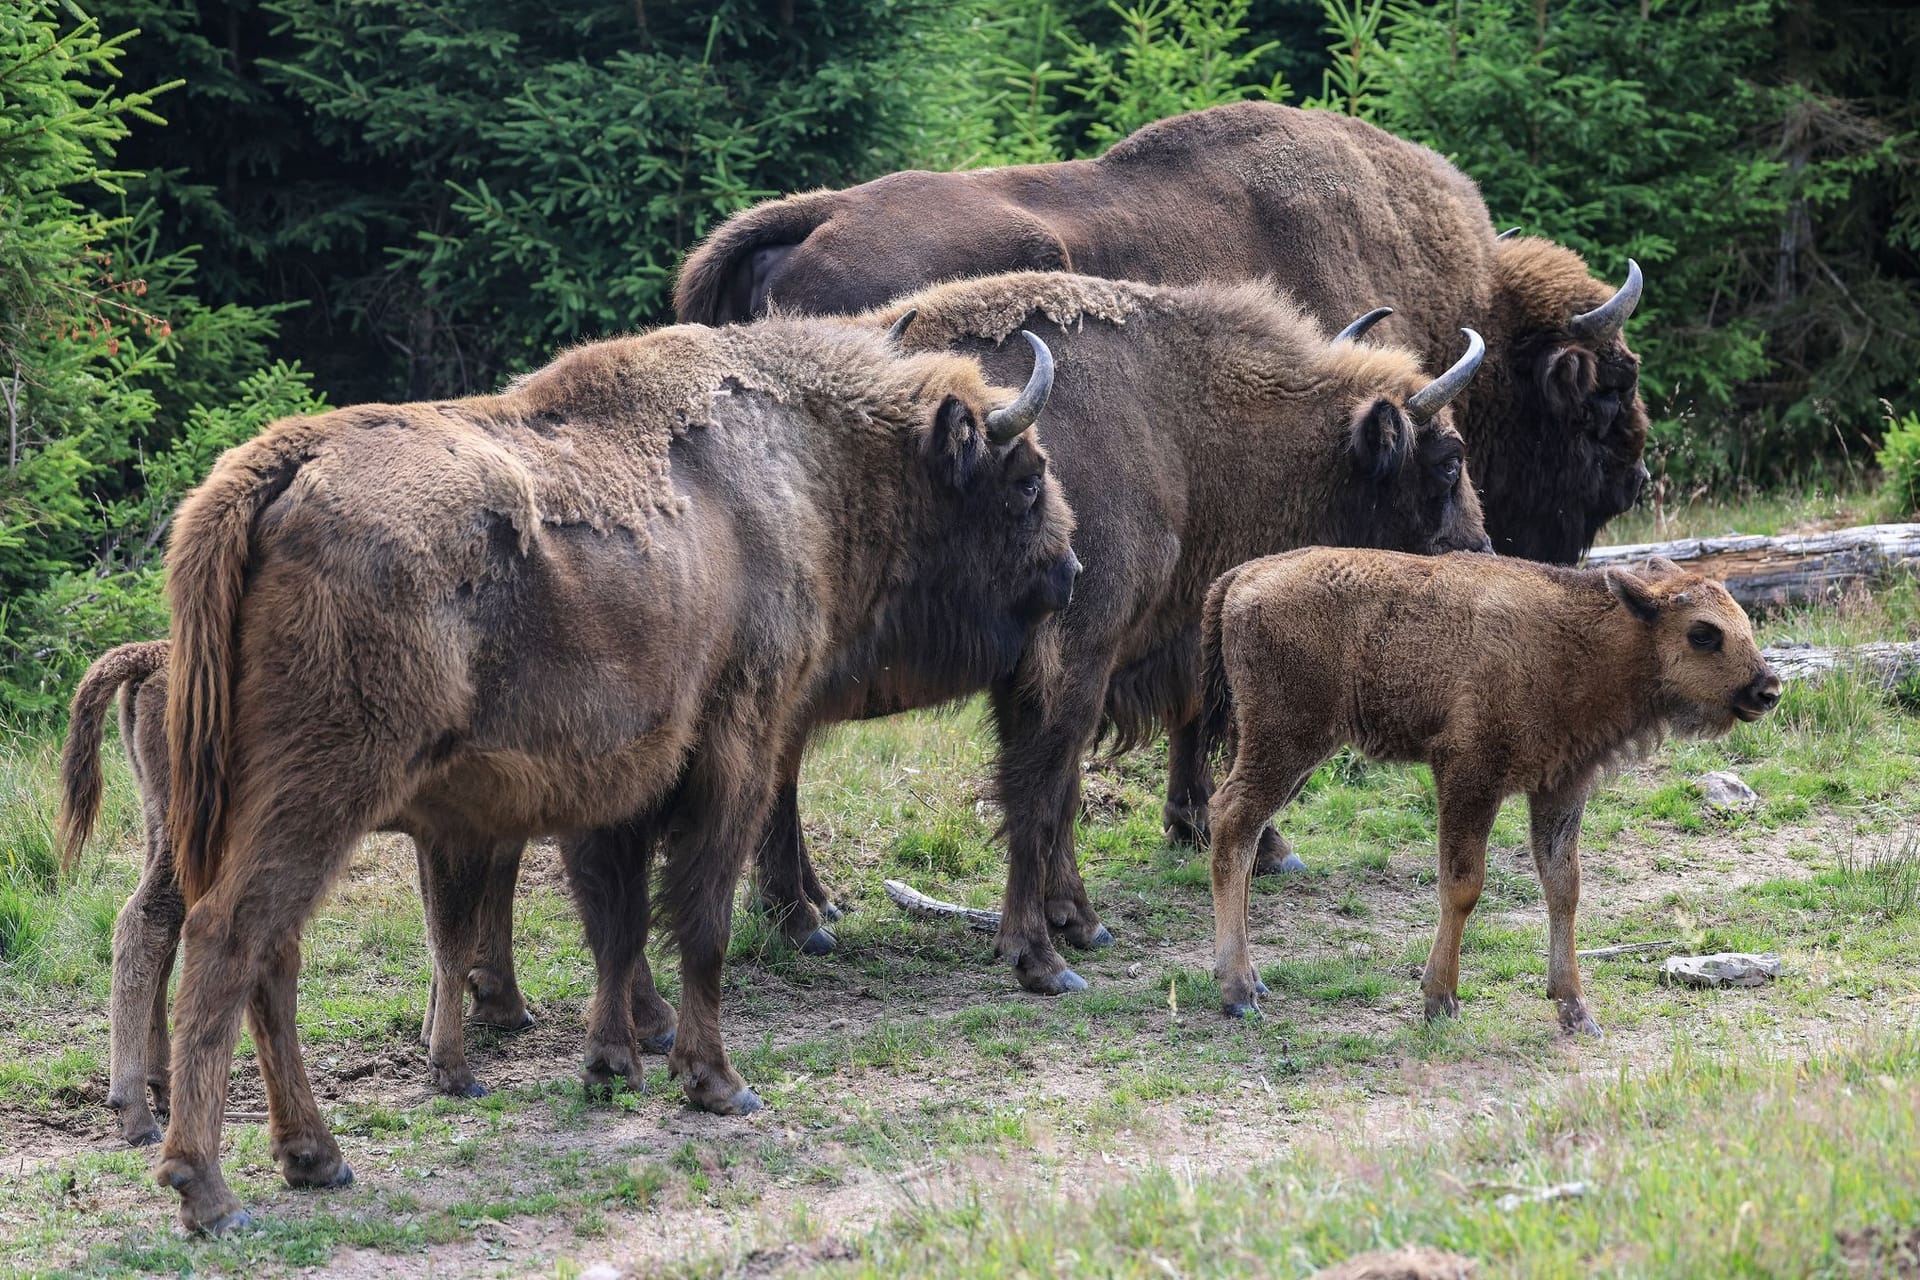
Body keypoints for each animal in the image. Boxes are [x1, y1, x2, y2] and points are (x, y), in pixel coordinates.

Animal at [149, 312, 1082, 1228]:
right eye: (1025, 479)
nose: (1069, 573)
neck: (796, 463)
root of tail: (278, 465)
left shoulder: (618, 791)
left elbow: (617, 925)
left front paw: (610, 1066)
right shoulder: (736, 753)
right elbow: (700, 920)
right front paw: (717, 1083)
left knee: (273, 956)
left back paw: (315, 1158)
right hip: (320, 795)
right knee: (230, 938)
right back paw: (210, 1190)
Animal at [752, 268, 1497, 990]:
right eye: (1448, 459)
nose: (1480, 550)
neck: (1176, 432)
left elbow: (1059, 791)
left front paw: (1071, 918)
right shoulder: (1075, 663)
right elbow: (1042, 793)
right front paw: (1054, 944)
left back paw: (811, 912)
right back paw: (804, 923)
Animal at [1198, 552, 1781, 1028]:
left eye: (1744, 623)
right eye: (1702, 633)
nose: (1768, 690)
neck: (1587, 637)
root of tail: (1239, 577)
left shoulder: (1560, 788)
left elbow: (1564, 886)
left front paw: (1575, 1009)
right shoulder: (1469, 777)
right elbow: (1464, 886)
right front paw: (1441, 1001)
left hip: (1287, 748)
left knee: (1243, 830)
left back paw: (1253, 982)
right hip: (1288, 741)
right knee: (1230, 819)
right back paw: (1238, 993)